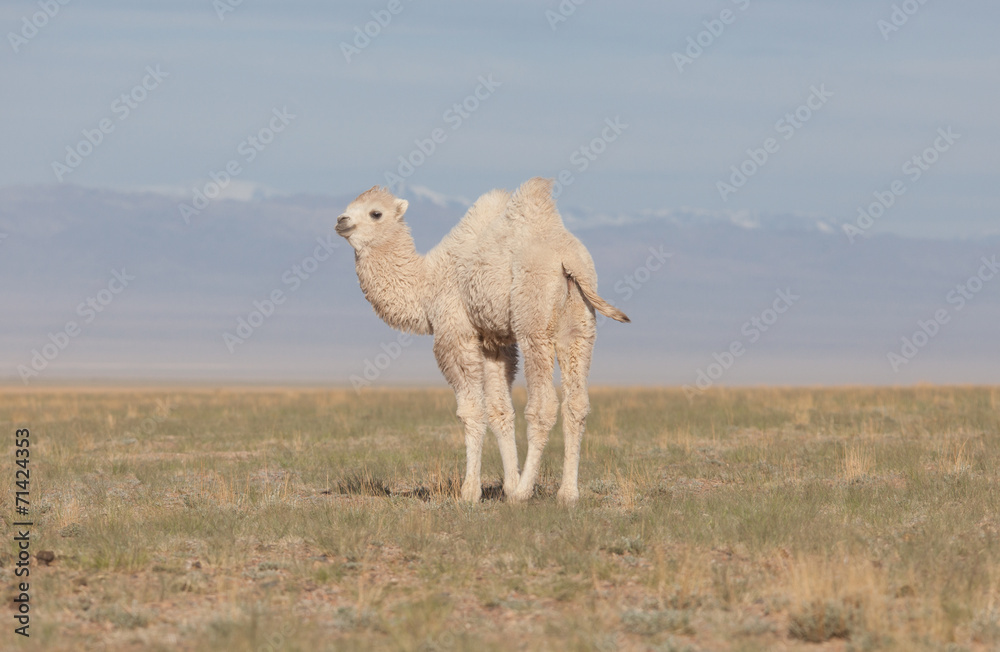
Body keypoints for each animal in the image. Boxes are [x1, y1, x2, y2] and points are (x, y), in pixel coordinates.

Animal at [335, 177, 629, 504]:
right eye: (349, 207)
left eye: (376, 213)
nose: (341, 221)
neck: (427, 284)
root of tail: (568, 259)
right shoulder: (496, 342)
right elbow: (500, 411)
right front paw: (508, 483)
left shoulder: (455, 334)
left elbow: (471, 412)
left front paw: (471, 491)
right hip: (579, 326)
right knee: (577, 403)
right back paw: (567, 494)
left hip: (534, 322)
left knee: (543, 405)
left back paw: (525, 492)